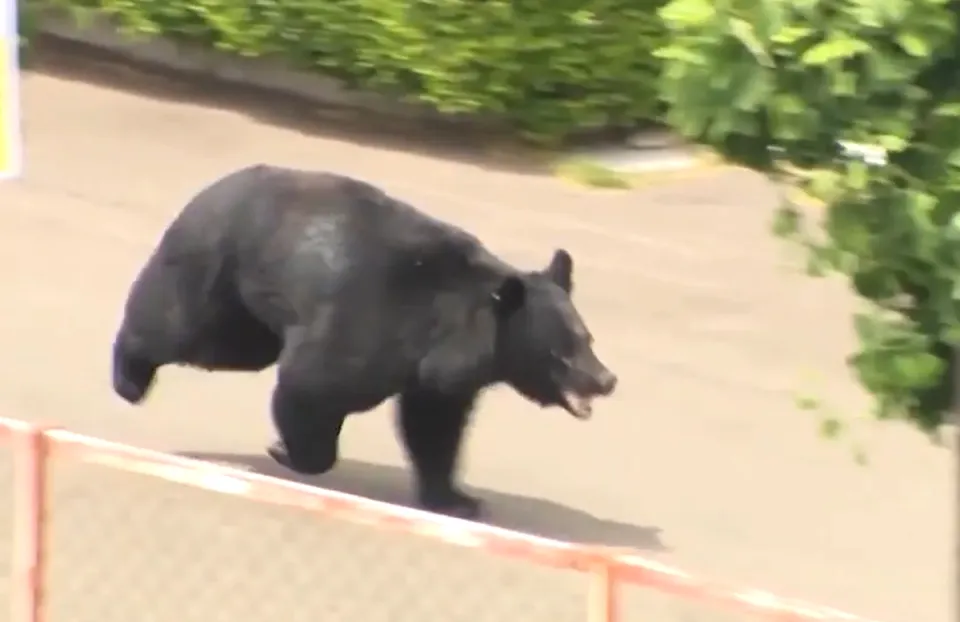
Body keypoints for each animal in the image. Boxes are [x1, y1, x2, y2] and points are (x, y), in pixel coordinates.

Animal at [111, 164, 617, 519]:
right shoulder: (371, 322)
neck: (452, 330)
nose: (606, 379)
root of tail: (211, 189)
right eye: (562, 350)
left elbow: (434, 428)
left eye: (588, 337)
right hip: (221, 274)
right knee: (184, 330)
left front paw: (457, 498)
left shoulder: (434, 375)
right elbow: (312, 385)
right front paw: (288, 450)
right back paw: (129, 379)